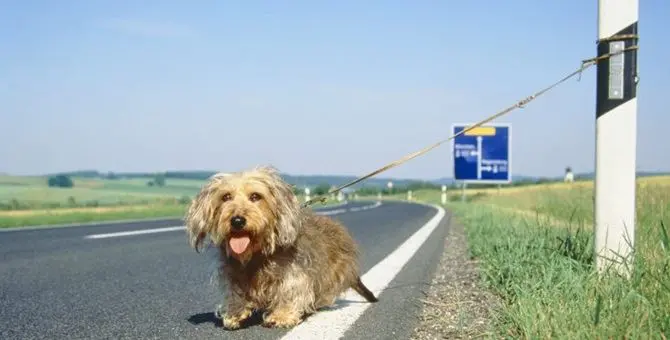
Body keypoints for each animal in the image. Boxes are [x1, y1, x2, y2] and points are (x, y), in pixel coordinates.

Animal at [184, 165, 380, 330]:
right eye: (225, 197)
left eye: (255, 196)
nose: (237, 221)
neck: (256, 254)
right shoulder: (232, 272)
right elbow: (235, 292)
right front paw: (234, 313)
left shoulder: (294, 272)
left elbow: (289, 291)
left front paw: (281, 316)